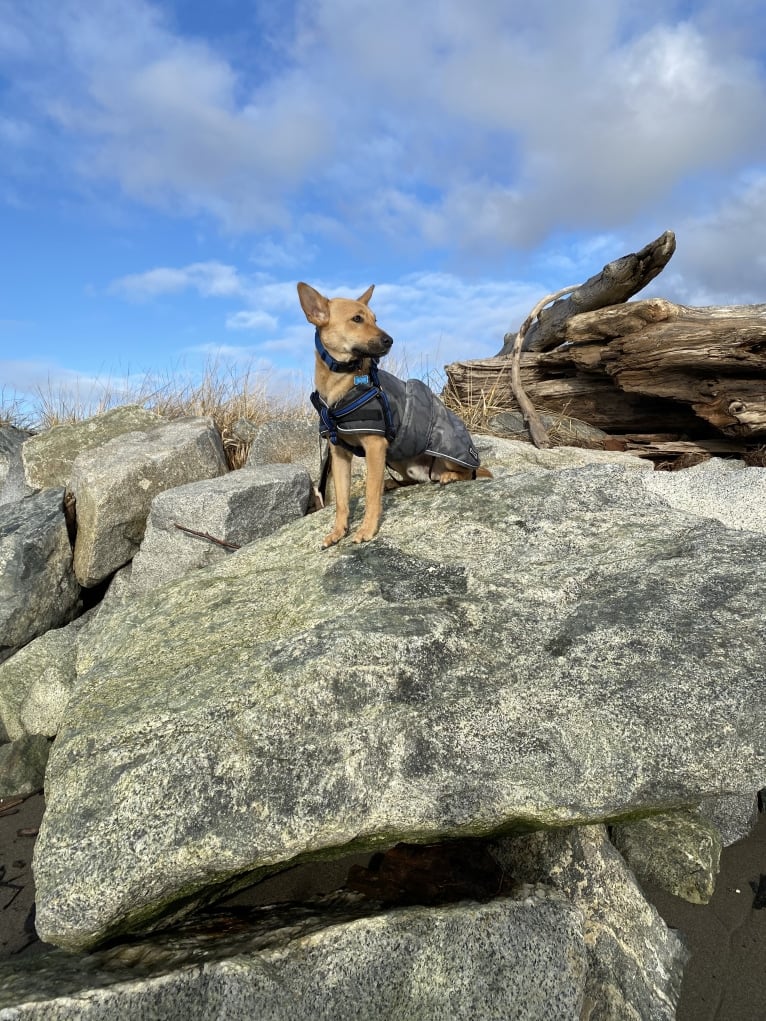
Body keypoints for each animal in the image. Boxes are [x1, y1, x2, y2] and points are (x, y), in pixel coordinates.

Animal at [296, 279, 488, 551]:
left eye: (375, 319)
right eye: (357, 319)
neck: (341, 384)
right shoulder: (340, 454)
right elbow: (342, 501)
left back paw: (450, 476)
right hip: (396, 459)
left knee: (469, 474)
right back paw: (392, 484)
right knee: (414, 480)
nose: (390, 340)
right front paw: (337, 532)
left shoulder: (375, 446)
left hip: (446, 455)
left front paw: (367, 530)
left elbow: (370, 494)